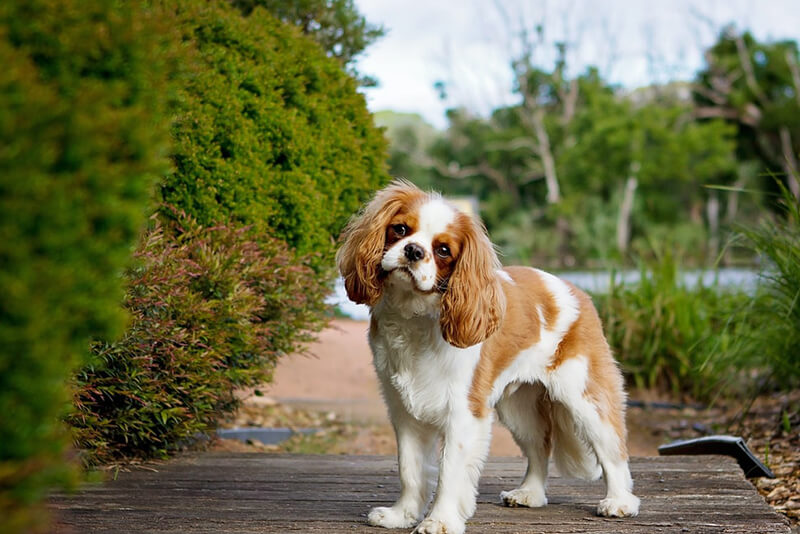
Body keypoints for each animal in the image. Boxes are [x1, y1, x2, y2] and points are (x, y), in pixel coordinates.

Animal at [334, 182, 640, 532]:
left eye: (443, 250)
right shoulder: (405, 413)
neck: (414, 316)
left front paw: (440, 520)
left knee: (613, 449)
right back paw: (530, 494)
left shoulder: (464, 414)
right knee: (540, 446)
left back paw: (619, 502)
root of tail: (576, 289)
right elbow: (409, 470)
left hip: (584, 397)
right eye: (399, 230)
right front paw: (402, 515)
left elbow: (450, 472)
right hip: (518, 408)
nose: (413, 251)